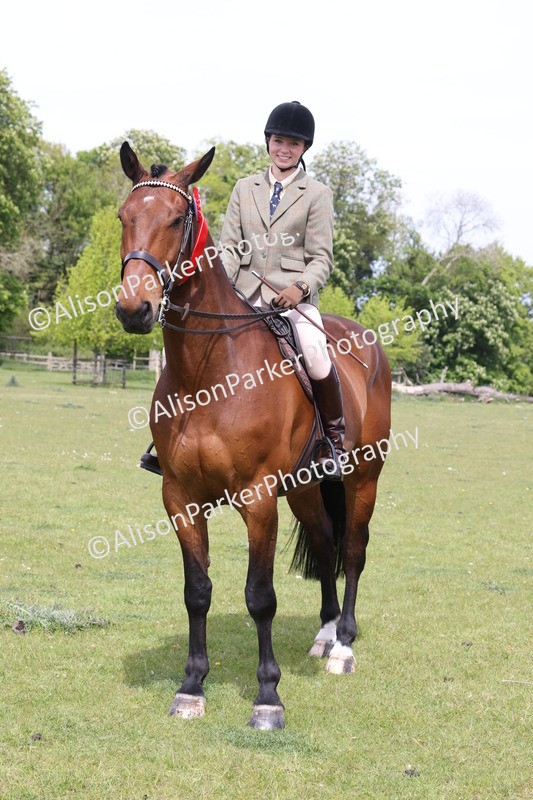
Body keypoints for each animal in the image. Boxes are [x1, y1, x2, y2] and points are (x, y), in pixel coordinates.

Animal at [115, 142, 392, 729]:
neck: (208, 369)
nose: (133, 309)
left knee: (353, 550)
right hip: (307, 487)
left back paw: (343, 647)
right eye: (124, 217)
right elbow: (197, 591)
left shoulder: (258, 498)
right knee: (327, 543)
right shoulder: (179, 497)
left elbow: (260, 596)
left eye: (175, 219)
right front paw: (191, 687)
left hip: (363, 478)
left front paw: (268, 698)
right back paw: (324, 634)